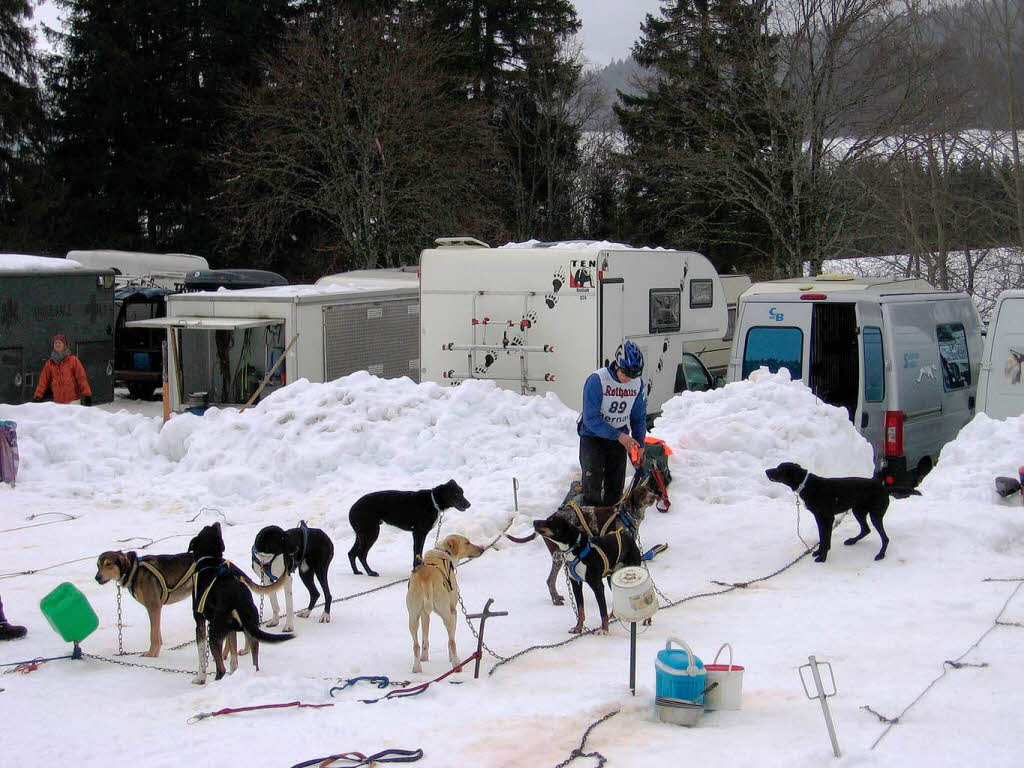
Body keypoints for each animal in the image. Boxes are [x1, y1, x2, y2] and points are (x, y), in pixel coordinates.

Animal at [188, 524, 294, 684]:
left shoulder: (199, 622)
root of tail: (238, 597)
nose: (216, 523)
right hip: (251, 629)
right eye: (211, 528)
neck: (209, 560)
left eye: (206, 528)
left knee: (221, 669)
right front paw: (234, 672)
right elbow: (234, 659)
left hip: (214, 632)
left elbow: (201, 657)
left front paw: (200, 677)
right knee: (255, 663)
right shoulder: (231, 630)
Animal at [761, 462, 921, 565]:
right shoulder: (820, 518)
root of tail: (884, 489)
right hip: (858, 510)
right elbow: (823, 538)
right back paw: (852, 540)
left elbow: (825, 539)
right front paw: (819, 552)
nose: (766, 471)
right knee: (866, 529)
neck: (806, 484)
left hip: (875, 515)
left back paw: (881, 554)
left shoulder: (827, 518)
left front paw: (822, 558)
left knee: (885, 538)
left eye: (779, 469)